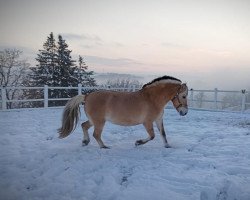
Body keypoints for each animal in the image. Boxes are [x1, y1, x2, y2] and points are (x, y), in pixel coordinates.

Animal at [58, 76, 188, 148]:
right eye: (184, 96)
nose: (185, 112)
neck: (152, 99)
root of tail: (87, 96)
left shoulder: (158, 120)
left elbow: (163, 134)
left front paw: (167, 146)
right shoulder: (147, 122)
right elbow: (152, 136)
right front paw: (137, 143)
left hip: (94, 120)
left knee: (84, 125)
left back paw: (85, 142)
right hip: (99, 122)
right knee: (96, 134)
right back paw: (104, 147)